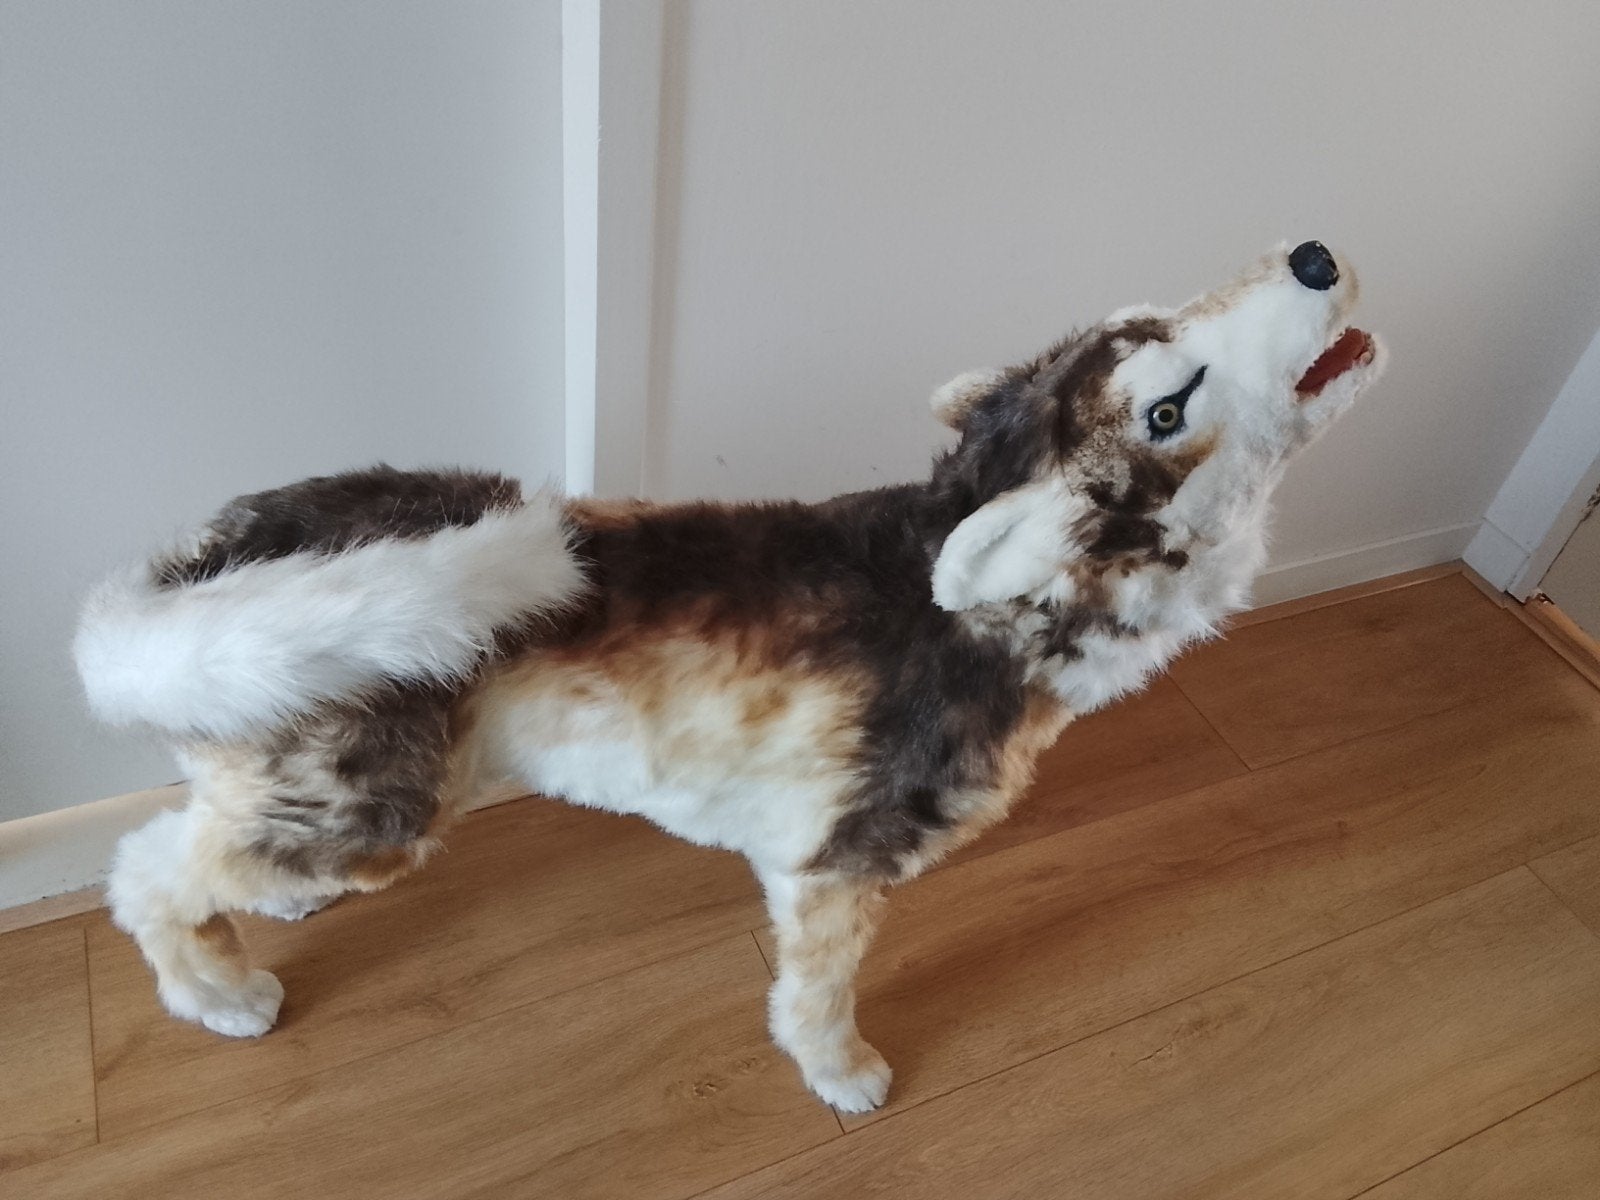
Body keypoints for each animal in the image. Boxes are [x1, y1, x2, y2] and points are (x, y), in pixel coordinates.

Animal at [76, 241, 1383, 1112]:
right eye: (1165, 407)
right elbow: (816, 994)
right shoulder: (833, 863)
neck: (976, 594)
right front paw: (842, 1075)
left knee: (206, 840)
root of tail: (212, 557)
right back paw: (218, 991)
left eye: (1160, 311)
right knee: (143, 871)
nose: (1313, 255)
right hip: (373, 809)